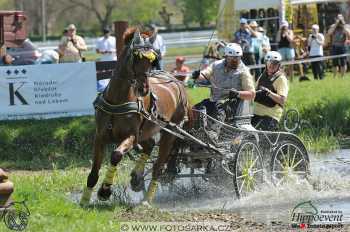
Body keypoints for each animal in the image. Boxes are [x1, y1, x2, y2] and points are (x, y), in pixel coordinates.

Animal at [79, 27, 190, 207]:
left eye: (152, 60)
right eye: (136, 58)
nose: (144, 88)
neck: (118, 99)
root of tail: (177, 82)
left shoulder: (130, 135)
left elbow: (116, 155)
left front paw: (105, 190)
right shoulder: (100, 136)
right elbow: (94, 170)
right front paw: (84, 200)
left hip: (169, 132)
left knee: (158, 166)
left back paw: (146, 199)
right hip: (145, 132)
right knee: (149, 144)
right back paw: (137, 178)